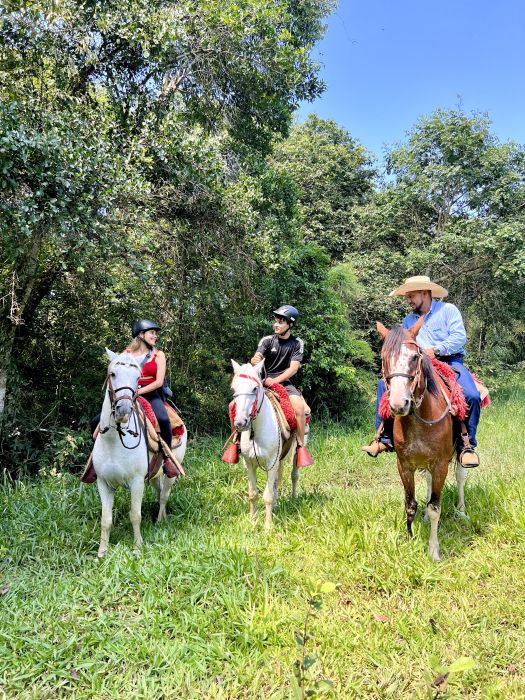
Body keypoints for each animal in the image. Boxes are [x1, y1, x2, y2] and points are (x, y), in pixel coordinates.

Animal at [93, 350, 187, 556]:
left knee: (164, 495)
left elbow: (135, 515)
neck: (114, 442)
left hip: (171, 471)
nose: (124, 410)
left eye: (138, 378)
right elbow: (106, 520)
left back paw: (160, 521)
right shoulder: (103, 483)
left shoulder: (136, 482)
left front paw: (137, 547)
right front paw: (102, 552)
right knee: (159, 492)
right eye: (113, 374)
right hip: (153, 475)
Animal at [229, 360, 302, 532]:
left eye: (255, 388)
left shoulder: (271, 463)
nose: (240, 423)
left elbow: (267, 496)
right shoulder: (249, 464)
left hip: (296, 450)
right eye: (234, 389)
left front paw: (268, 527)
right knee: (276, 481)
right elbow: (253, 494)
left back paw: (294, 499)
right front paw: (253, 522)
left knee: (294, 475)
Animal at [376, 318, 466, 564]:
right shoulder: (404, 465)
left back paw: (462, 510)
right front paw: (409, 539)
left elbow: (436, 507)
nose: (399, 404)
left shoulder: (441, 465)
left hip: (459, 453)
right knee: (427, 482)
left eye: (415, 357)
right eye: (383, 358)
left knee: (461, 476)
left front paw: (433, 550)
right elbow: (410, 504)